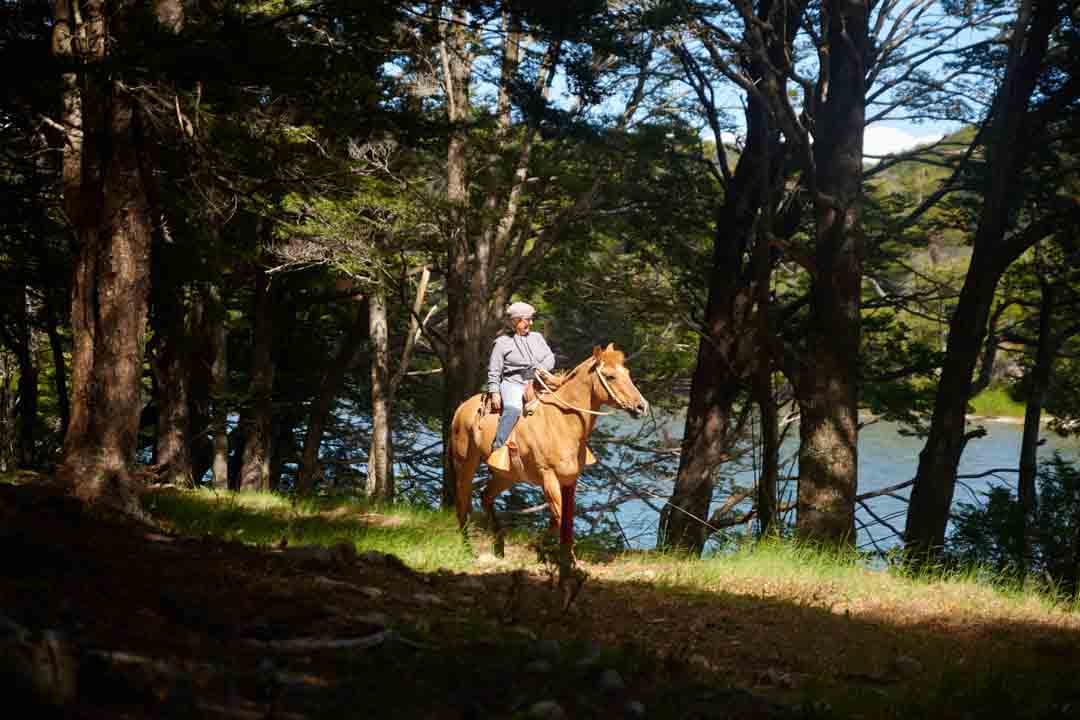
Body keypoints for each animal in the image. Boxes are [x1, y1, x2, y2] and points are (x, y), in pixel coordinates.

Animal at [449, 343, 648, 552]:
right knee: (463, 500)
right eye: (610, 376)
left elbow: (559, 521)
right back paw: (467, 547)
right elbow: (559, 519)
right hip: (465, 463)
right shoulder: (548, 477)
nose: (641, 406)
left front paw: (542, 548)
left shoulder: (570, 480)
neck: (562, 421)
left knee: (485, 497)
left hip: (507, 475)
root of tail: (462, 407)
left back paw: (499, 545)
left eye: (627, 372)